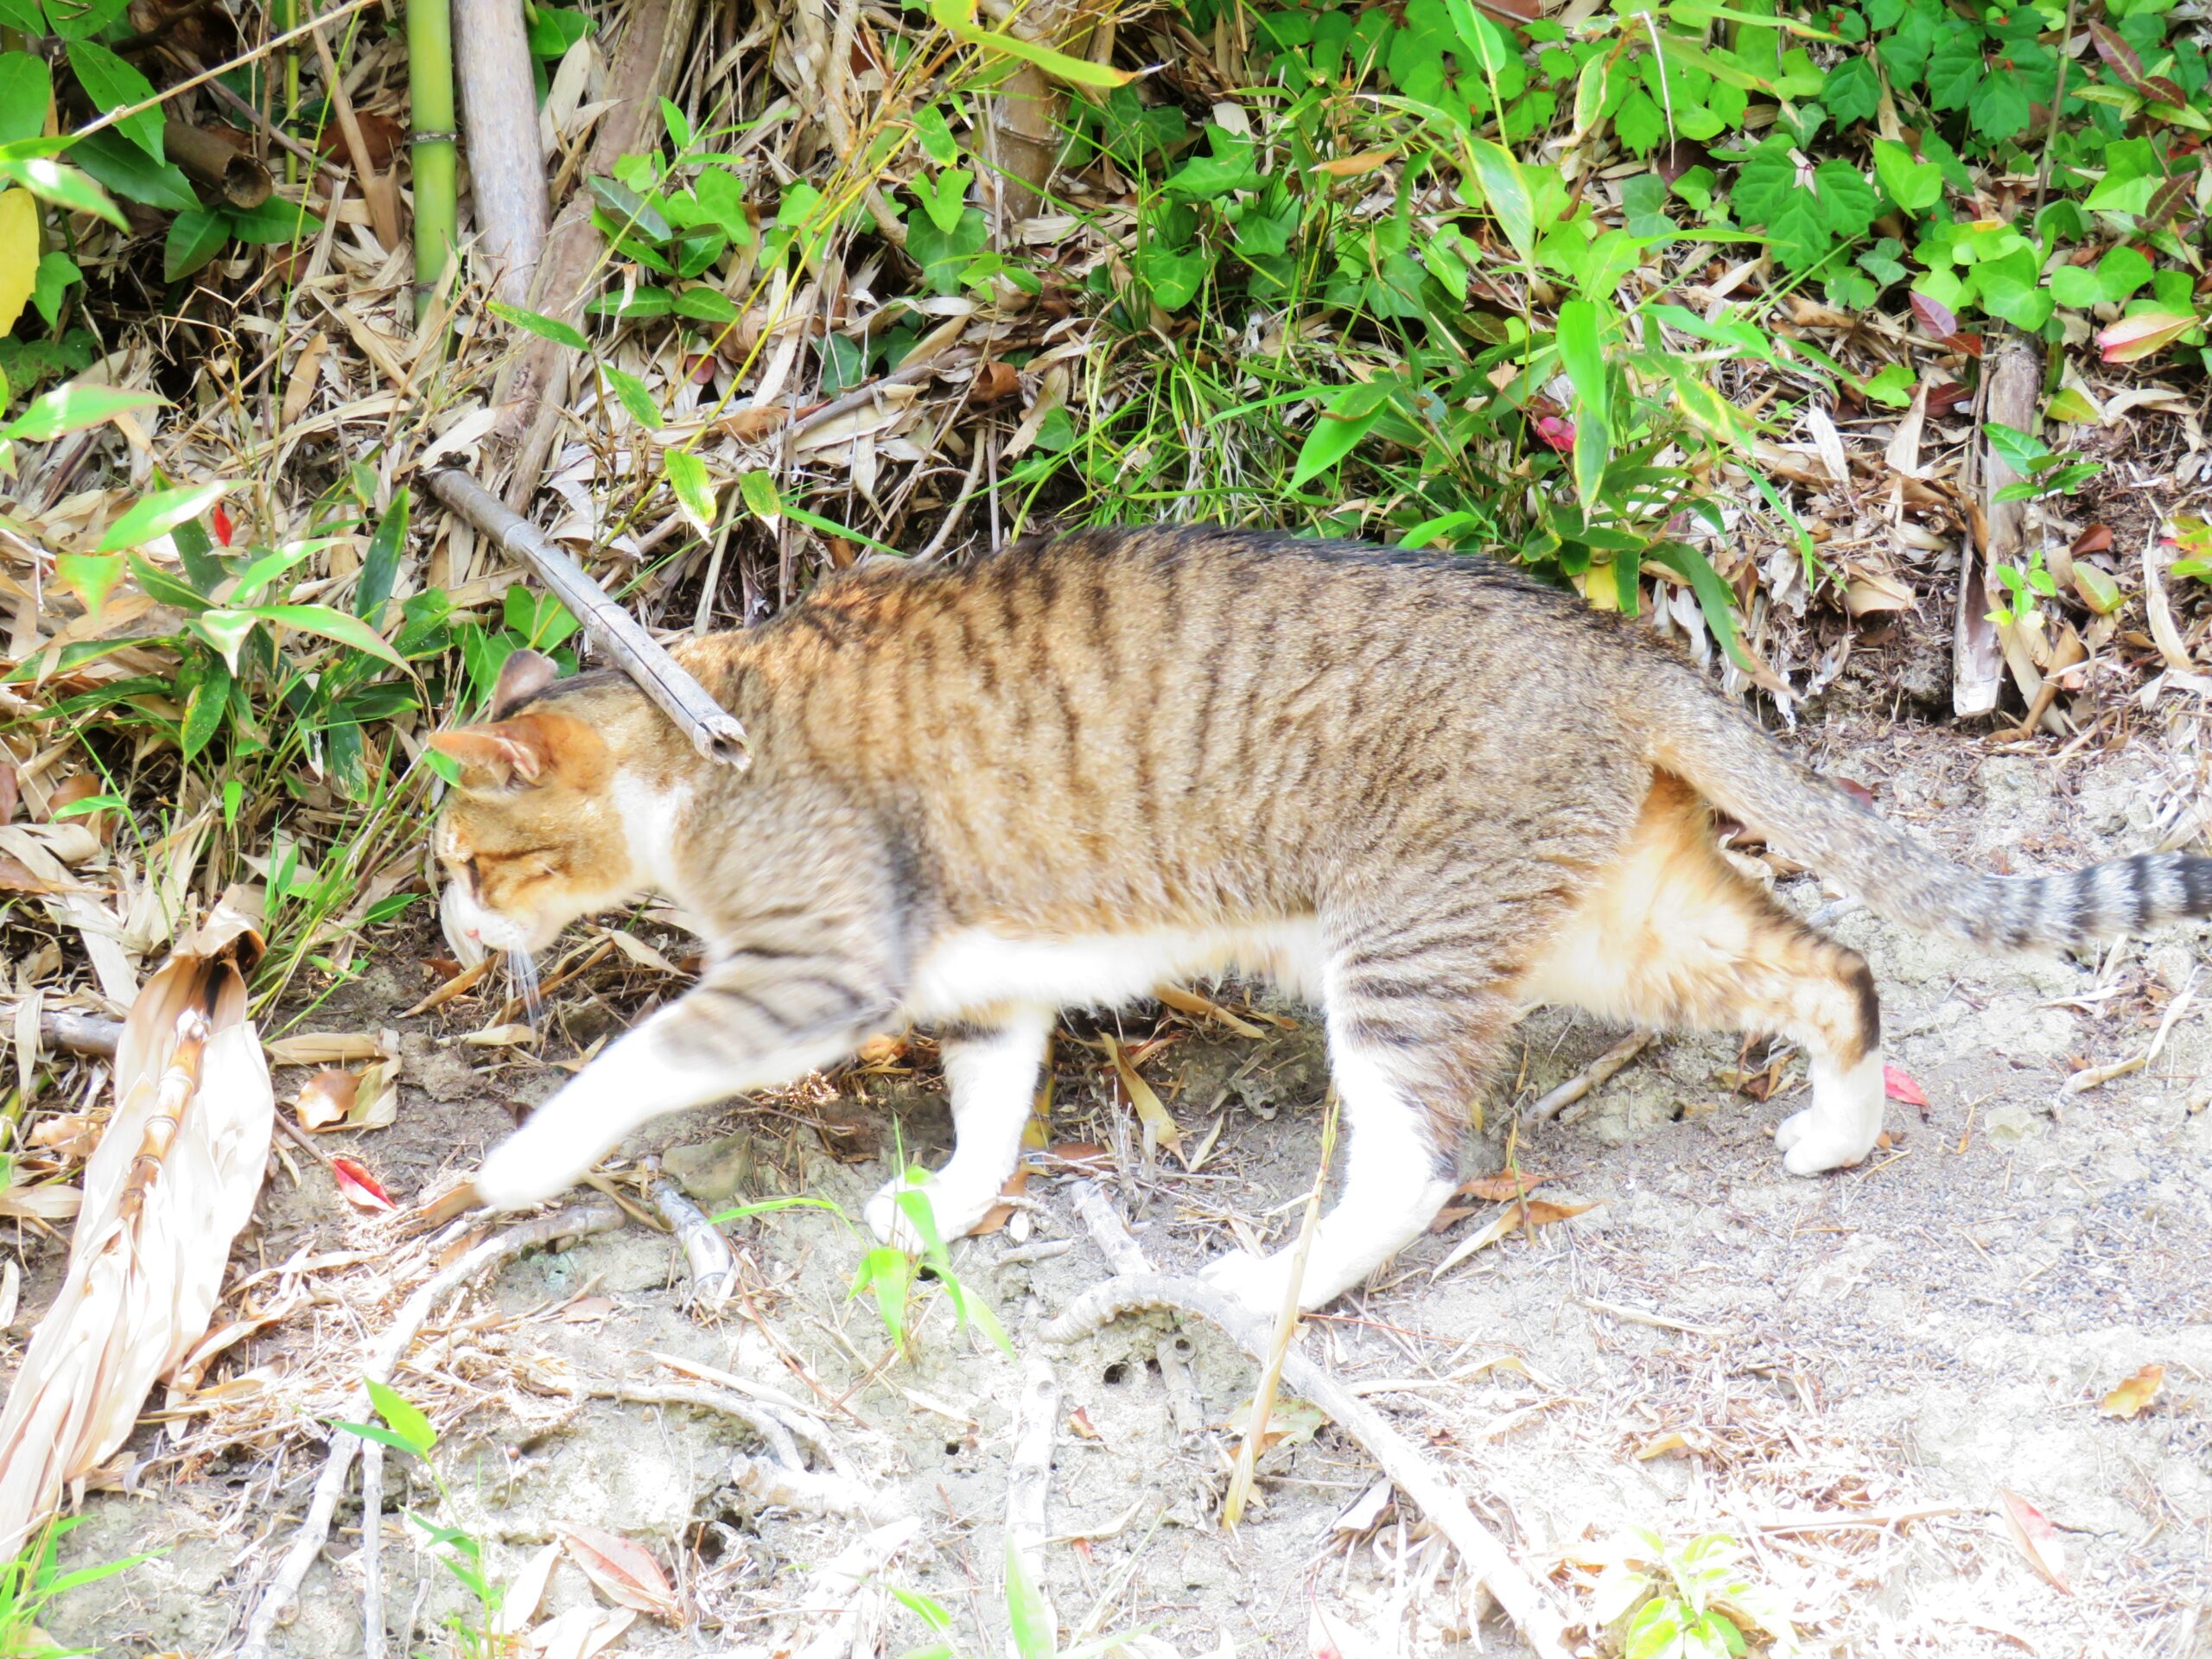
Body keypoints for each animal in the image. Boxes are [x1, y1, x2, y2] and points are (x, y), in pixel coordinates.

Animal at [431, 528, 2212, 1309]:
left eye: (468, 861)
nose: (448, 932)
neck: (695, 736)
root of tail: (1607, 646)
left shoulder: (817, 963)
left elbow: (634, 1063)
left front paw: (514, 1164)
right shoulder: (979, 981)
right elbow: (993, 1113)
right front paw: (947, 1205)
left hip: (1400, 949)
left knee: (1420, 1162)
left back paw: (1269, 1289)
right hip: (1616, 925)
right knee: (1833, 966)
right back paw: (1838, 1135)